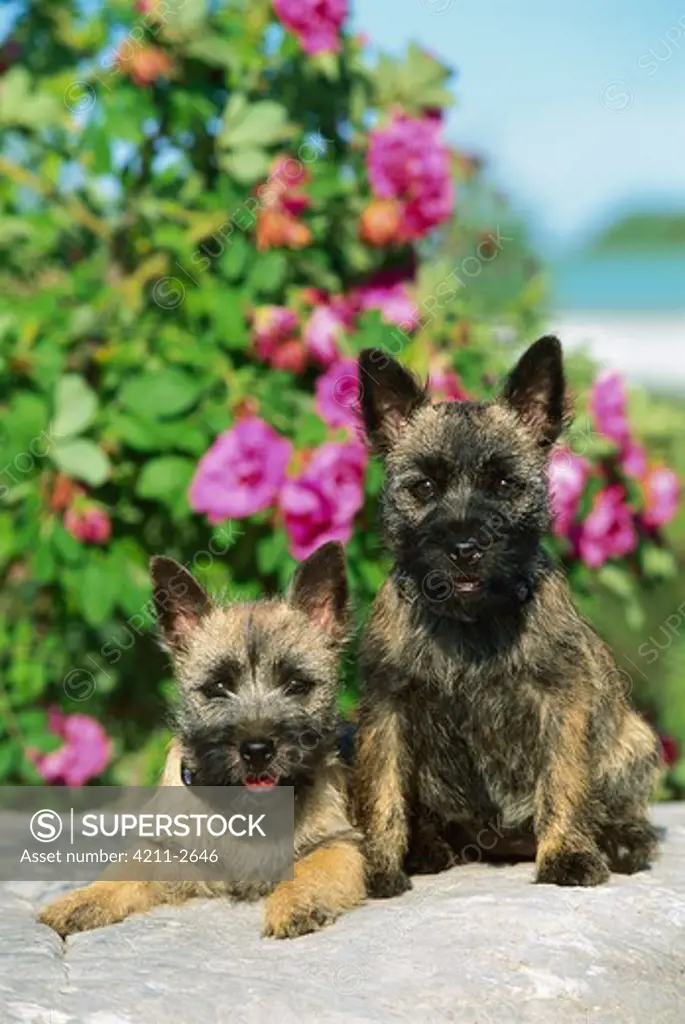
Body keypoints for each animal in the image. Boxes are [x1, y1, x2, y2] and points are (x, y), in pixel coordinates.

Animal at [40, 544, 366, 937]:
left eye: (297, 685)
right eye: (217, 687)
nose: (257, 751)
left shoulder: (338, 843)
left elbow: (311, 868)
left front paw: (296, 902)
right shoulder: (169, 851)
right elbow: (126, 869)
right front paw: (80, 900)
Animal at [352, 337, 655, 897]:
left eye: (504, 483)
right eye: (423, 487)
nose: (465, 548)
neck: (470, 621)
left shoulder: (562, 701)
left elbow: (563, 779)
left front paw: (567, 855)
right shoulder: (387, 709)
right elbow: (381, 789)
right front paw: (380, 865)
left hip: (634, 742)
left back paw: (622, 839)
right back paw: (425, 846)